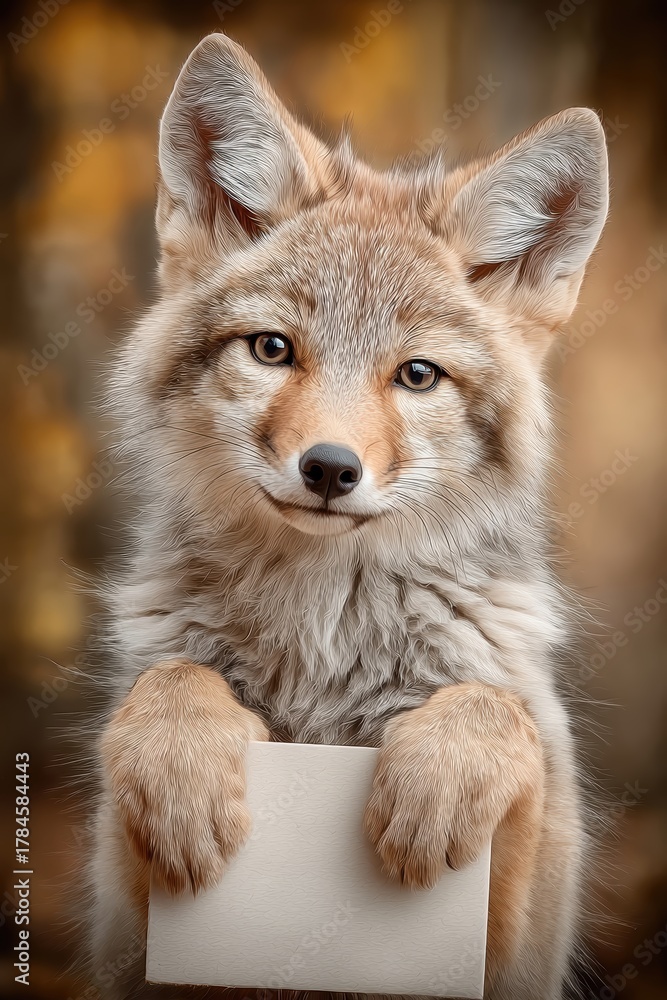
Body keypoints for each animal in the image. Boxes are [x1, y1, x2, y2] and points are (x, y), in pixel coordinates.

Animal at [89, 30, 609, 1000]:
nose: (329, 468)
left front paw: (438, 780)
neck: (322, 651)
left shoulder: (516, 939)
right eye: (272, 350)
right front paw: (181, 774)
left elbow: (492, 707)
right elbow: (171, 679)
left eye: (416, 375)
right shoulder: (128, 933)